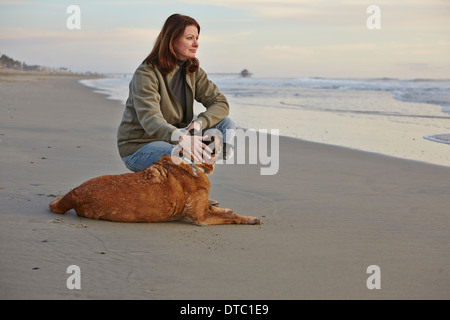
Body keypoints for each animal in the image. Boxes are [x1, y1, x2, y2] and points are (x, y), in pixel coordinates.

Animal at [49, 134, 260, 225]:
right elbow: (232, 217)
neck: (188, 161)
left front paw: (224, 208)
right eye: (215, 139)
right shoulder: (202, 219)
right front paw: (249, 219)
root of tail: (75, 193)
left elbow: (218, 209)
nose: (233, 144)